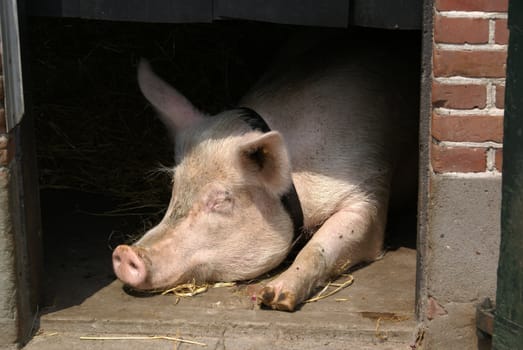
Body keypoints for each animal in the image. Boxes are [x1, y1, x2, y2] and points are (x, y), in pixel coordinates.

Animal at [112, 38, 420, 310]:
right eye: (175, 187)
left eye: (221, 200)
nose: (124, 253)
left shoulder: (369, 192)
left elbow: (320, 246)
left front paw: (273, 297)